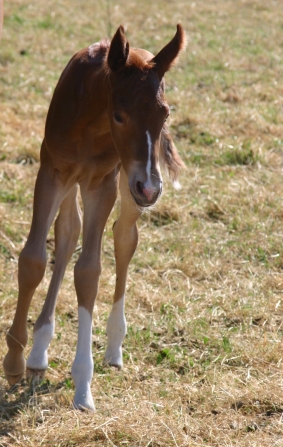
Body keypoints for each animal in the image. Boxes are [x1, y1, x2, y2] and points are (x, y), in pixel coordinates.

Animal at [4, 23, 187, 410]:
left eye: (164, 114)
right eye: (119, 114)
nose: (152, 188)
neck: (90, 124)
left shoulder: (101, 184)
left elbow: (88, 271)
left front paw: (83, 385)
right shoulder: (52, 171)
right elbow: (33, 259)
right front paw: (14, 361)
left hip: (126, 184)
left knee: (124, 238)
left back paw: (115, 345)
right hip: (86, 182)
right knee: (67, 233)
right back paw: (39, 352)